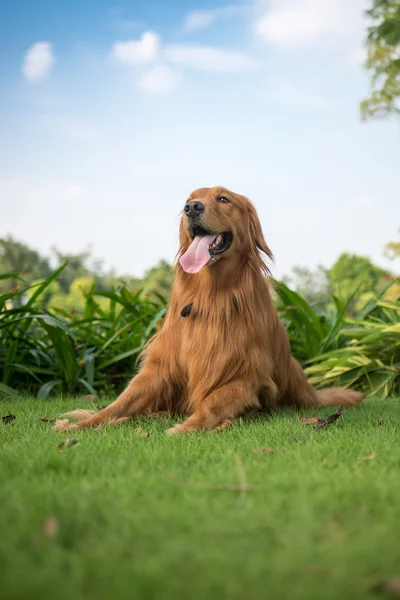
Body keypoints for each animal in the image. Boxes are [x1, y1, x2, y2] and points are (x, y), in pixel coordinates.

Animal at [55, 185, 366, 434]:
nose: (192, 207)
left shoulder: (246, 376)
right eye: (189, 199)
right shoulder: (160, 369)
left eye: (224, 199)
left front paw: (186, 427)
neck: (211, 295)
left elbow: (211, 403)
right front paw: (79, 424)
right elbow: (119, 403)